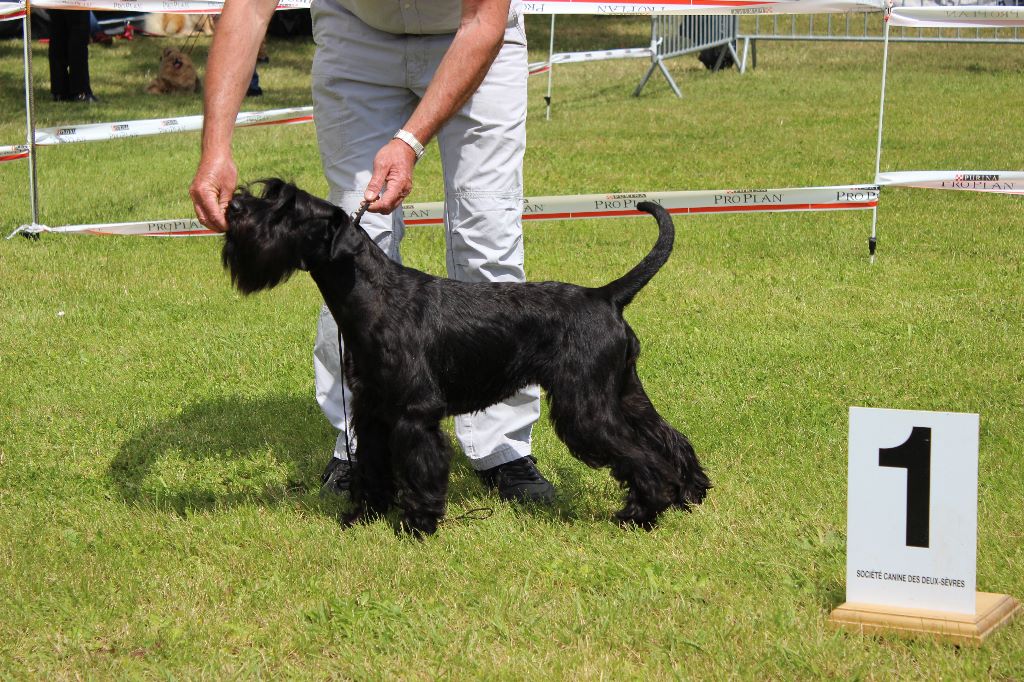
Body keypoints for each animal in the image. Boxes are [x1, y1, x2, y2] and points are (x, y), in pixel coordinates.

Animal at [222, 180, 712, 536]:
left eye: (287, 208)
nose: (234, 206)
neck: (374, 295)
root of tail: (605, 296)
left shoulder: (414, 412)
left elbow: (420, 466)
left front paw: (417, 525)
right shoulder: (371, 410)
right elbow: (372, 467)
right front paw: (362, 517)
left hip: (586, 408)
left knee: (640, 455)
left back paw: (640, 514)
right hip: (623, 392)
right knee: (667, 437)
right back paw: (690, 493)